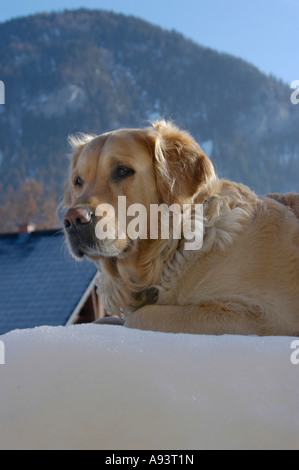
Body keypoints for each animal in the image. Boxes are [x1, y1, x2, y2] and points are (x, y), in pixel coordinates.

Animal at [62, 120, 299, 334]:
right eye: (78, 181)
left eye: (122, 170)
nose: (73, 219)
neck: (175, 246)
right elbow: (101, 320)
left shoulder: (263, 316)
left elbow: (138, 317)